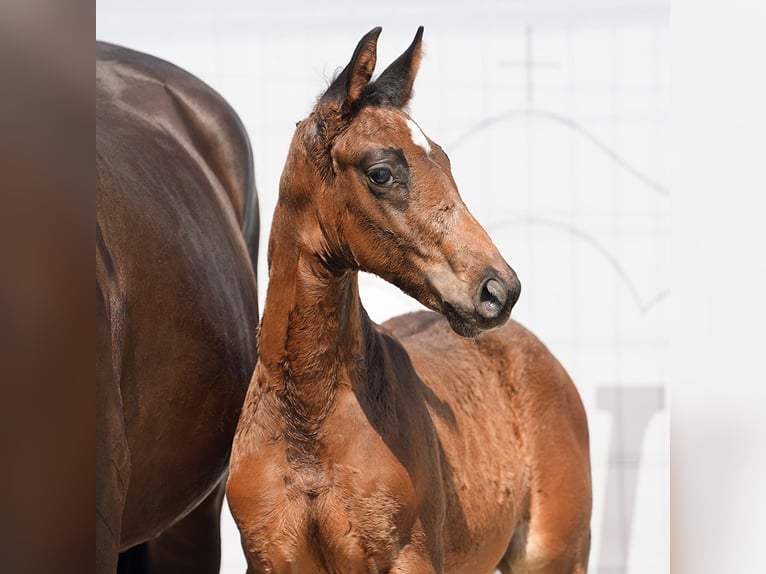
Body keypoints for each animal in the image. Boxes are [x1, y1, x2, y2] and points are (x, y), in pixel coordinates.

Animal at [228, 28, 592, 574]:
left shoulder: (408, 557)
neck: (308, 418)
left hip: (555, 556)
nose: (499, 289)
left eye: (444, 159)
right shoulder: (269, 560)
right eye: (381, 172)